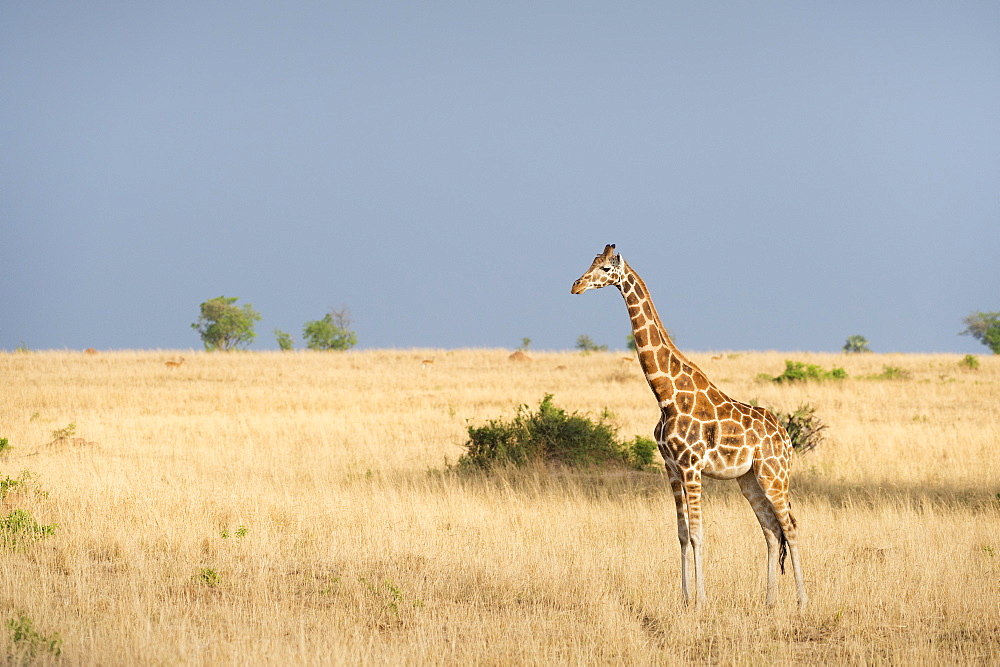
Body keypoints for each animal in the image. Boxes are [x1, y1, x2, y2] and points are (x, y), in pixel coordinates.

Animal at [572, 245, 804, 612]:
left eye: (606, 268)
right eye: (591, 263)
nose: (576, 286)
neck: (665, 395)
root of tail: (787, 438)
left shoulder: (692, 466)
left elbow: (697, 534)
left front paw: (701, 602)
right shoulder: (671, 467)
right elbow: (681, 534)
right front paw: (684, 598)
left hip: (774, 474)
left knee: (791, 527)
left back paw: (802, 602)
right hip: (749, 479)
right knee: (770, 530)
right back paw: (768, 602)